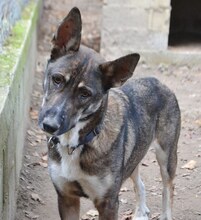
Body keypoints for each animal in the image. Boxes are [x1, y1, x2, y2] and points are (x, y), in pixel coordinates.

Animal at [38, 6, 181, 220]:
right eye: (57, 79)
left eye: (85, 94)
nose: (49, 125)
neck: (76, 144)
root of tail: (158, 82)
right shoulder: (66, 197)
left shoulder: (108, 203)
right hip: (133, 159)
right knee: (140, 184)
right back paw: (140, 212)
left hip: (167, 156)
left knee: (168, 190)